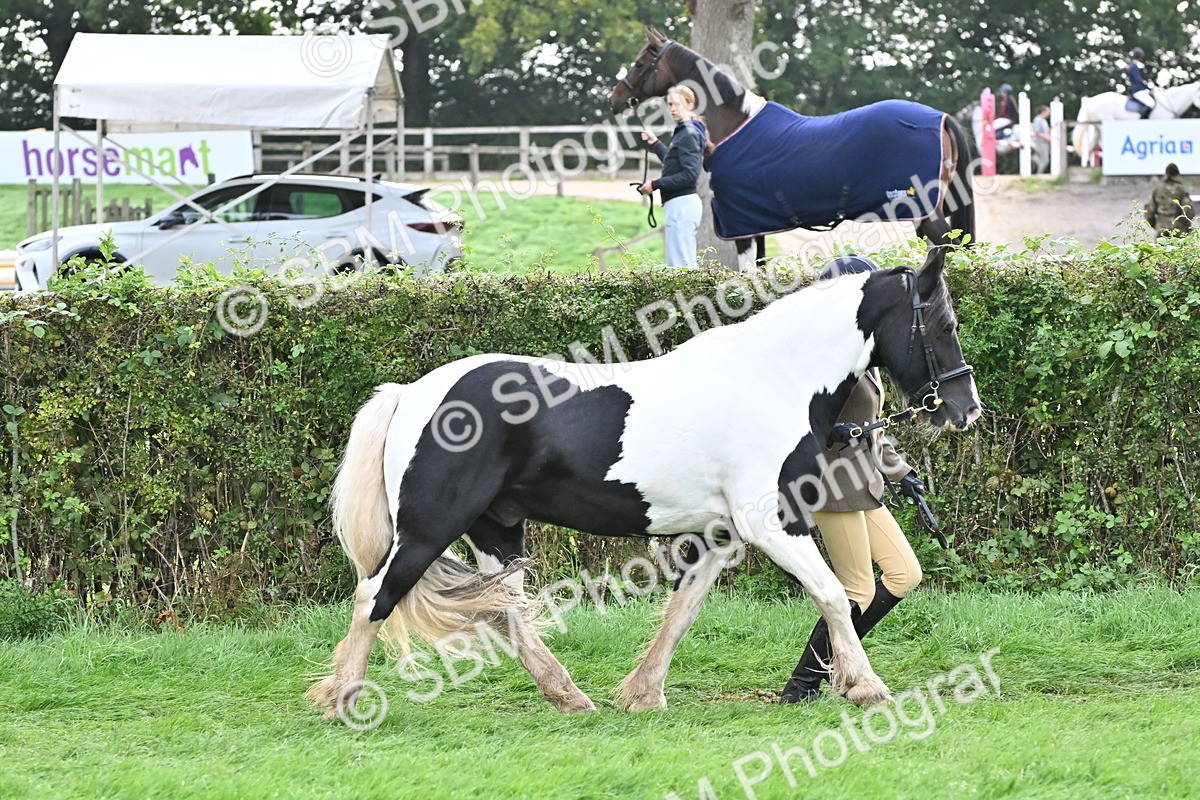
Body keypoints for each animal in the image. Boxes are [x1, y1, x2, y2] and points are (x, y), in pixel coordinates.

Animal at [308, 246, 982, 717]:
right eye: (944, 323)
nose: (965, 408)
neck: (773, 379)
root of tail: (412, 394)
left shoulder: (720, 535)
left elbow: (683, 610)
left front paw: (642, 694)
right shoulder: (772, 523)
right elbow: (835, 595)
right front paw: (866, 687)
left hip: (497, 530)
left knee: (511, 613)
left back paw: (570, 698)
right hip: (428, 529)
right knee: (375, 597)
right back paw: (342, 700)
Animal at [609, 28, 976, 248]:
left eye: (640, 63)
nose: (614, 99)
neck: (736, 126)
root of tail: (942, 119)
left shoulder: (742, 228)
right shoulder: (754, 226)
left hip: (925, 213)